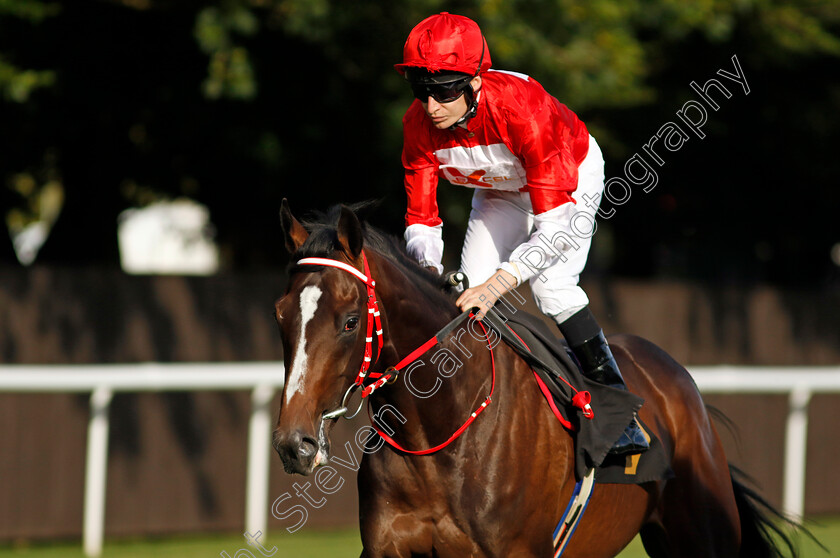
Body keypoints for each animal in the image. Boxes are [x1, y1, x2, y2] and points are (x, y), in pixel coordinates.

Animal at [272, 202, 796, 558]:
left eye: (350, 321)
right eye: (280, 315)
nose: (294, 444)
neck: (439, 438)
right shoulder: (389, 547)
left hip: (704, 535)